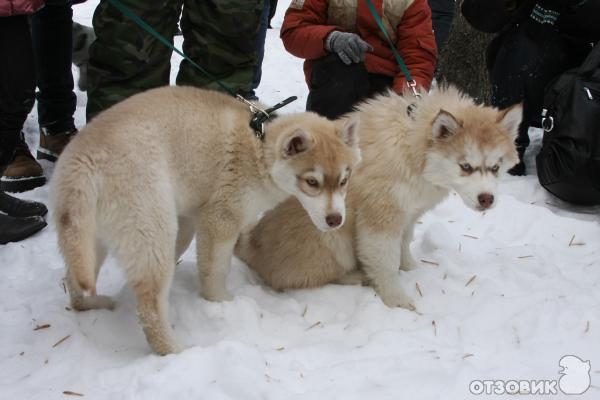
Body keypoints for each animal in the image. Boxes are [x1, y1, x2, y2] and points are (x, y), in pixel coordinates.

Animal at [51, 85, 360, 354]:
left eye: (344, 181)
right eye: (312, 182)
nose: (336, 220)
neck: (259, 147)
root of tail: (84, 160)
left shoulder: (190, 217)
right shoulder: (221, 219)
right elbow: (216, 270)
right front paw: (220, 302)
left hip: (93, 237)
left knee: (74, 279)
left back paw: (91, 303)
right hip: (152, 229)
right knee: (150, 307)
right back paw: (173, 350)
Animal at [234, 86, 520, 308]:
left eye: (496, 167)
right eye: (466, 166)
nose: (487, 199)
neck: (412, 148)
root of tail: (251, 246)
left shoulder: (408, 213)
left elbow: (404, 244)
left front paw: (409, 266)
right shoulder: (379, 218)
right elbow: (385, 262)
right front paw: (396, 299)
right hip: (333, 237)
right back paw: (353, 276)